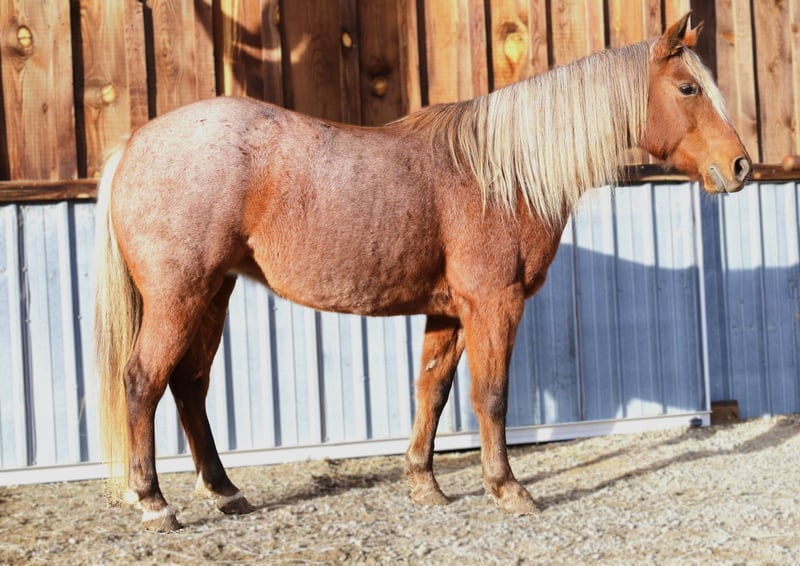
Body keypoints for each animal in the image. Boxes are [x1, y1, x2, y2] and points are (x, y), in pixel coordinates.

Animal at [94, 13, 750, 531]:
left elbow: (432, 392)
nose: (741, 166)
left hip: (214, 294)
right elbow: (492, 395)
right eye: (688, 87)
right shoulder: (494, 303)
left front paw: (424, 484)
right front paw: (507, 488)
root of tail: (135, 143)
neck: (500, 174)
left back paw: (226, 491)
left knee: (189, 386)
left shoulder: (449, 312)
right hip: (179, 297)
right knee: (143, 380)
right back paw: (153, 502)